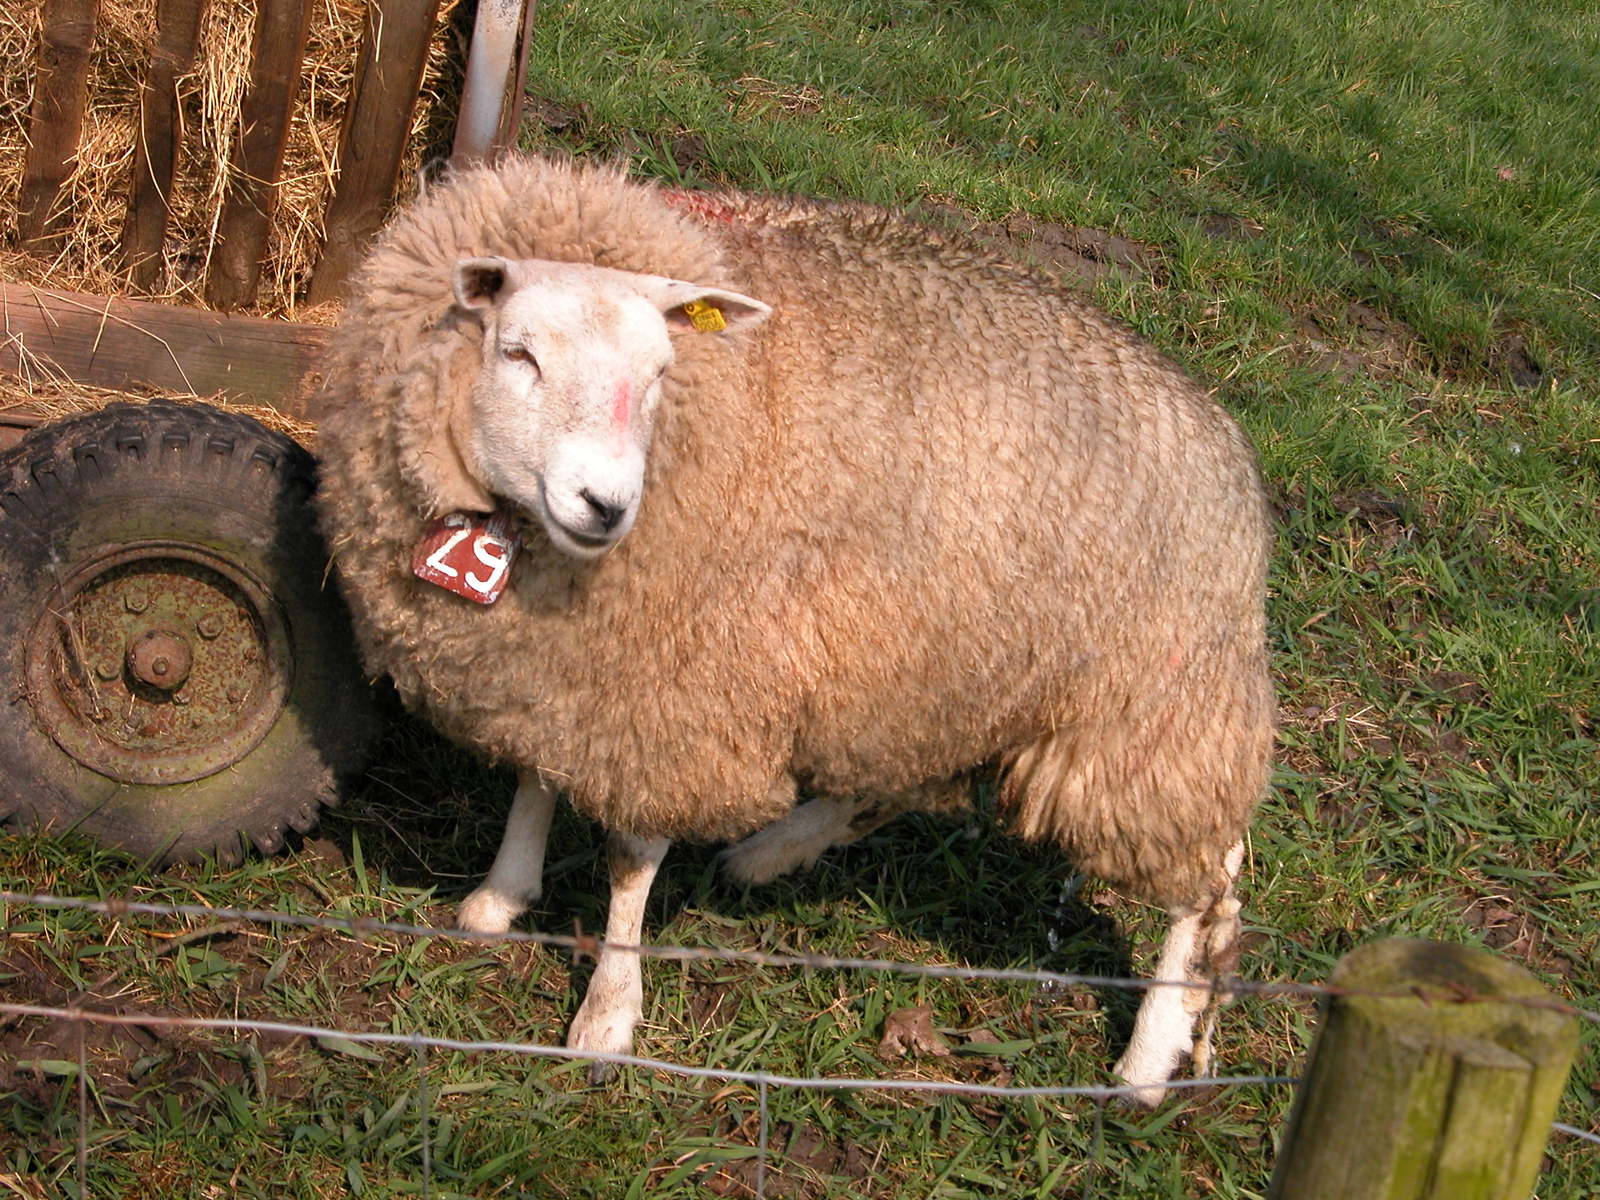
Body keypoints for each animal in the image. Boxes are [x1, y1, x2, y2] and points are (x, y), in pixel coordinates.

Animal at [315, 155, 1273, 1107]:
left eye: (661, 371)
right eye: (518, 352)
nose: (606, 505)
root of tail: (1227, 440)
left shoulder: (685, 680)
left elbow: (631, 859)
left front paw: (608, 1014)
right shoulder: (568, 671)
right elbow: (535, 778)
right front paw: (501, 894)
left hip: (1155, 707)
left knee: (1209, 882)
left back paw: (1153, 1055)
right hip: (930, 656)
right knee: (890, 776)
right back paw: (771, 853)